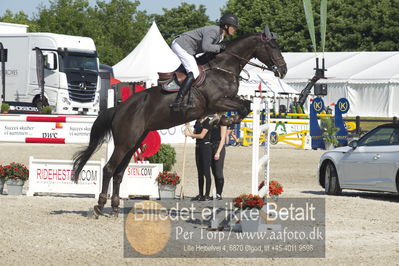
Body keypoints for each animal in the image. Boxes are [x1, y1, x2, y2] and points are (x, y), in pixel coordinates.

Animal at [72, 27, 288, 217]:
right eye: (273, 47)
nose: (283, 70)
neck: (223, 68)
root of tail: (119, 108)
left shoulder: (224, 101)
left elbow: (246, 104)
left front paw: (222, 120)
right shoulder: (217, 101)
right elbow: (244, 106)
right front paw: (228, 119)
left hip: (133, 143)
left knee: (118, 173)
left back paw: (116, 207)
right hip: (125, 143)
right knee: (109, 169)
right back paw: (100, 206)